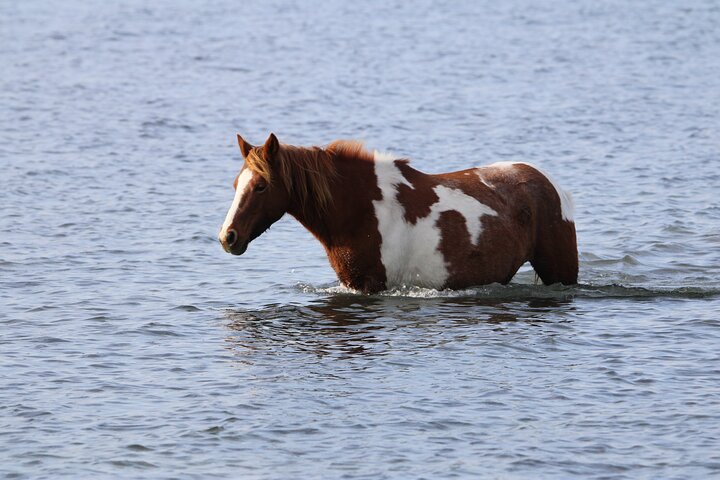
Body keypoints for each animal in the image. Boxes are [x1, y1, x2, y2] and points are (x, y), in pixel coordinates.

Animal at [219, 133, 578, 294]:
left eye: (261, 186)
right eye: (236, 183)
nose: (227, 237)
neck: (359, 208)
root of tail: (549, 182)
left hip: (560, 272)